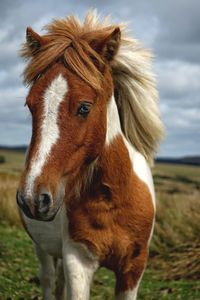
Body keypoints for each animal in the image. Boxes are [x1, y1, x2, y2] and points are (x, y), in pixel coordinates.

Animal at [16, 10, 164, 300]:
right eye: (30, 105)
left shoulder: (134, 267)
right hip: (42, 248)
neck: (111, 198)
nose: (32, 198)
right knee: (48, 280)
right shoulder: (78, 260)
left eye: (84, 107)